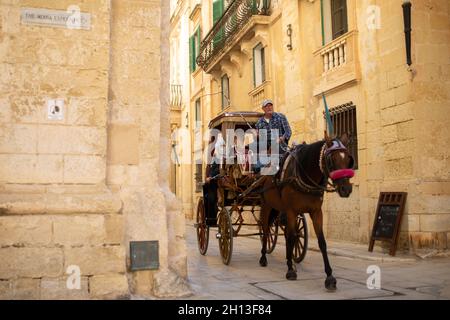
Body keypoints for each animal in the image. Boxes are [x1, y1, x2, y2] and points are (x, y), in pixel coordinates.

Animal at [256, 132, 356, 290]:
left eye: (348, 159)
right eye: (331, 160)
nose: (346, 189)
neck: (305, 175)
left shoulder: (316, 212)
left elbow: (321, 242)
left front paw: (330, 277)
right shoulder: (291, 211)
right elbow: (291, 238)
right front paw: (290, 270)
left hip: (279, 209)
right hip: (267, 206)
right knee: (266, 231)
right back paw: (263, 257)